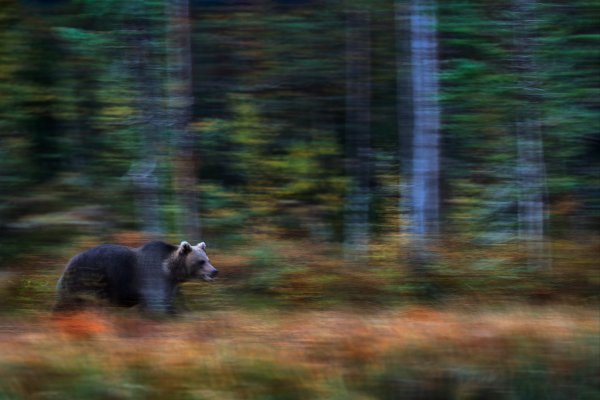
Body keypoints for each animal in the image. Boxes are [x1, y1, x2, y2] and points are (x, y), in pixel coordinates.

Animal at [54, 239, 217, 314]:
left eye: (208, 259)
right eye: (201, 261)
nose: (215, 271)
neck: (169, 270)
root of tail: (68, 263)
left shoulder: (169, 284)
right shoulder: (152, 277)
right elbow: (156, 304)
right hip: (88, 279)